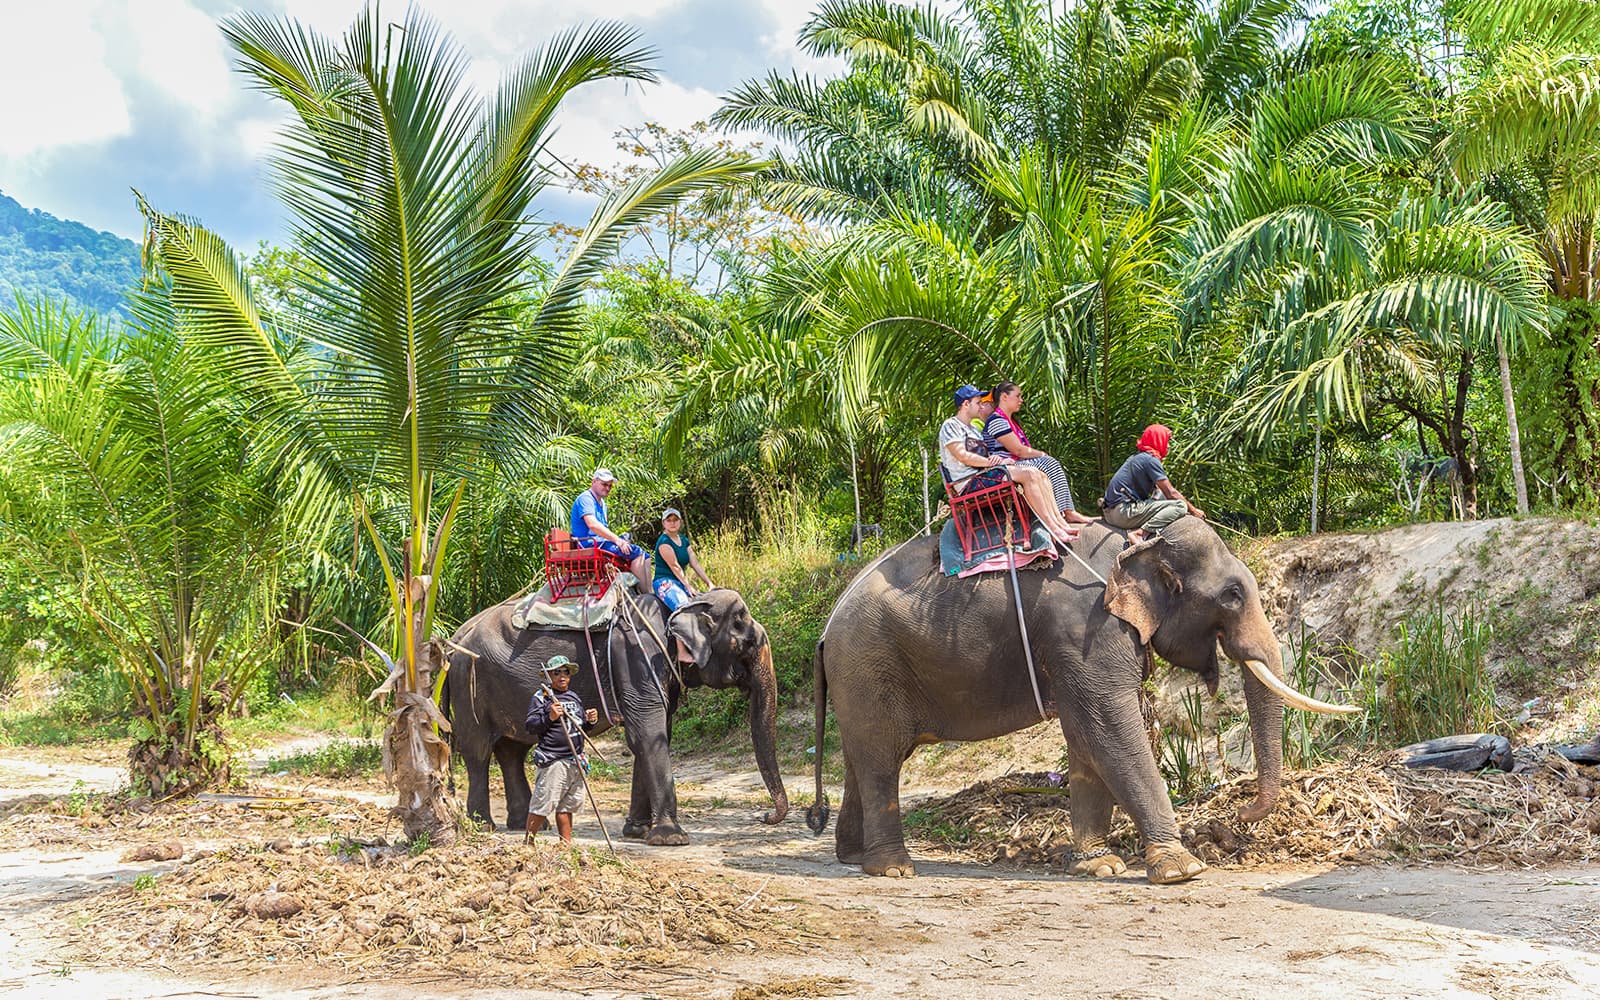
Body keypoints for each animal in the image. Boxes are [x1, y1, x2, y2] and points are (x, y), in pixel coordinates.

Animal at [443, 587, 787, 844]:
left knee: (512, 750)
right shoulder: (636, 655)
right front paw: (671, 839)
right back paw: (484, 825)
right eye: (748, 643)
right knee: (478, 752)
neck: (681, 606)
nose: (765, 816)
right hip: (469, 684)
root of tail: (455, 637)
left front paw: (638, 831)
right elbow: (647, 733)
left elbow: (656, 734)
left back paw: (526, 824)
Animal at [805, 517, 1354, 882]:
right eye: (1232, 596)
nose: (1238, 816)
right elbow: (1107, 726)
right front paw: (1182, 869)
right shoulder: (1087, 629)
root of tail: (826, 627)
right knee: (881, 759)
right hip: (869, 663)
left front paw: (1101, 866)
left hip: (862, 676)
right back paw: (893, 869)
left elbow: (1085, 739)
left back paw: (853, 857)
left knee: (864, 757)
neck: (1138, 545)